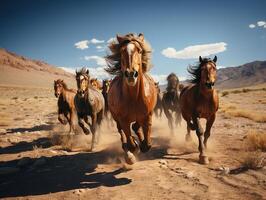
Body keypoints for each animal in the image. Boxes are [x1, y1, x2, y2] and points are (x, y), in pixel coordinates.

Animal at [104, 33, 158, 164]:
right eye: (122, 51)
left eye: (139, 50)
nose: (131, 74)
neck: (133, 98)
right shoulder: (123, 120)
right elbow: (131, 142)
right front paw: (133, 150)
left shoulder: (147, 116)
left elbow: (147, 143)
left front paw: (142, 144)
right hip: (115, 117)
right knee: (121, 132)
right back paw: (128, 150)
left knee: (135, 127)